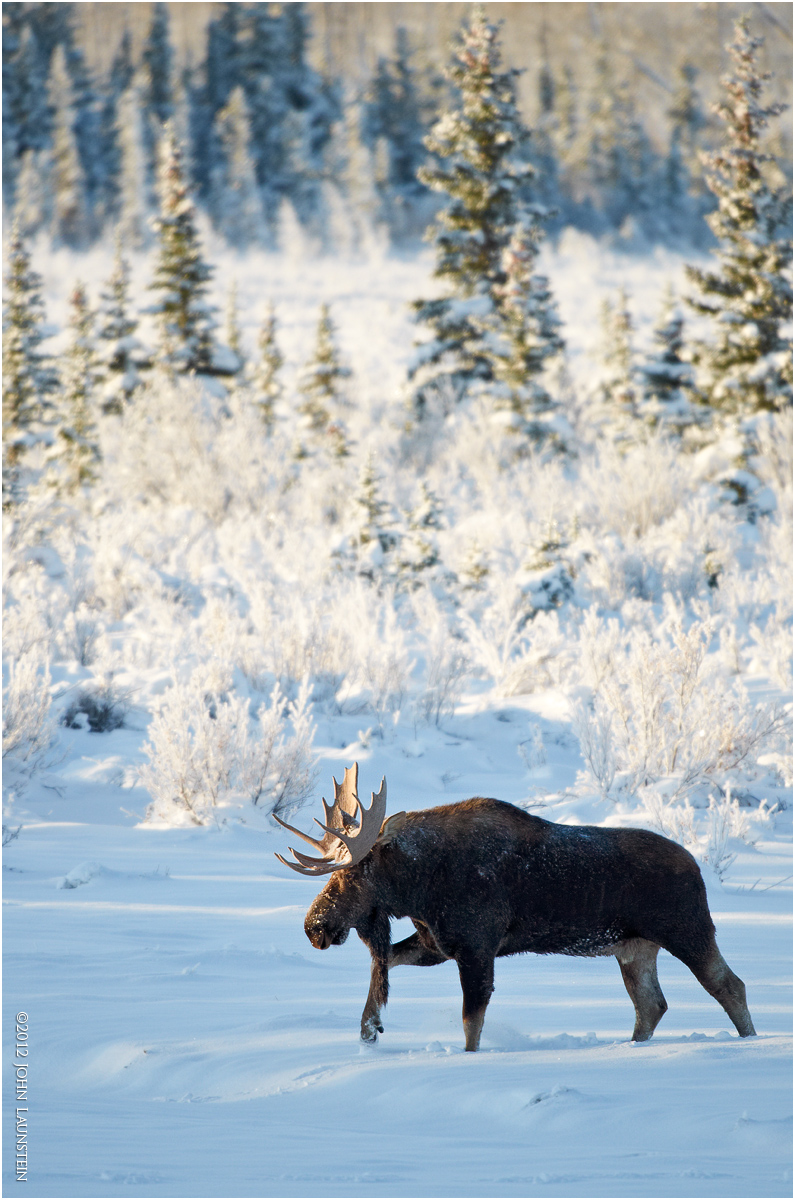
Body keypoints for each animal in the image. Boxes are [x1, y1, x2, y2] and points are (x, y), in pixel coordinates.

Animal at [274, 763, 756, 1052]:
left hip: (687, 929)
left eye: (352, 874)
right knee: (652, 1005)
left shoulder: (476, 947)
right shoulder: (437, 944)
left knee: (729, 985)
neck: (419, 887)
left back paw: (751, 1044)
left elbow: (471, 1024)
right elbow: (385, 963)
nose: (313, 926)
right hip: (634, 948)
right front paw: (369, 1028)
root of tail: (697, 868)